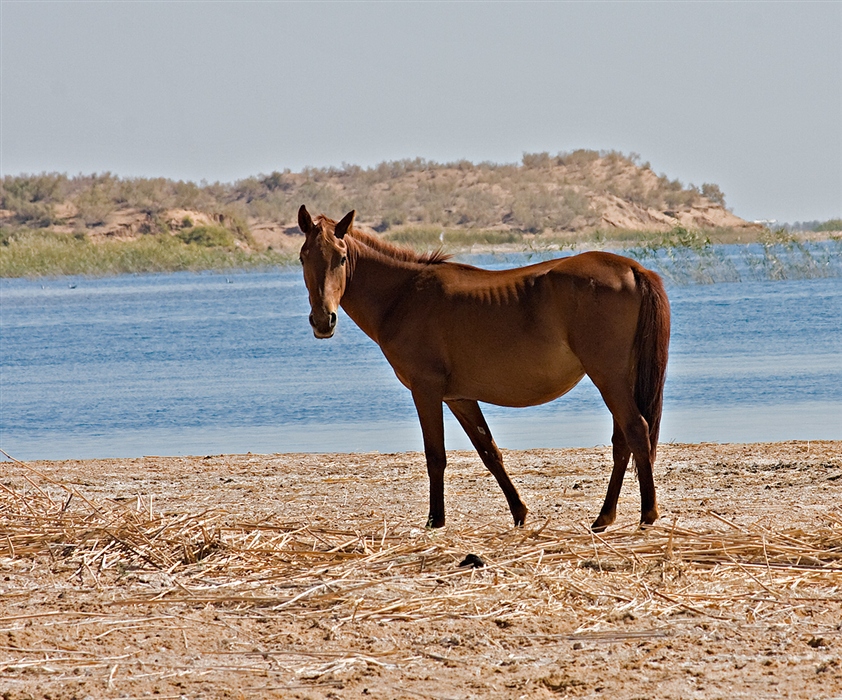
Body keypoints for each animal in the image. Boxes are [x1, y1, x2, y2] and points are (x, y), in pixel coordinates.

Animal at [296, 205, 668, 532]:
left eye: (342, 257)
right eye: (303, 257)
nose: (323, 320)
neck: (404, 296)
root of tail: (632, 268)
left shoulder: (426, 390)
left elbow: (435, 456)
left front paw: (435, 520)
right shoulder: (459, 398)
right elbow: (489, 451)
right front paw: (519, 513)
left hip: (609, 377)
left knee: (636, 430)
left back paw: (647, 514)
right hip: (620, 377)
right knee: (623, 441)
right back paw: (604, 517)